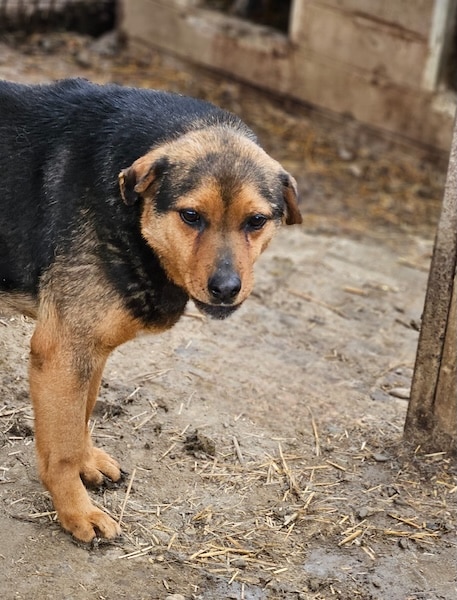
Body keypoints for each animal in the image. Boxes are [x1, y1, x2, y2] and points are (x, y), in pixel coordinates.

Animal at [0, 78, 301, 541]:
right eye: (191, 216)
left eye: (256, 221)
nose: (225, 289)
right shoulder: (62, 352)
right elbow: (61, 448)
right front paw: (76, 512)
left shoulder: (91, 349)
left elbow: (81, 416)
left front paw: (87, 464)